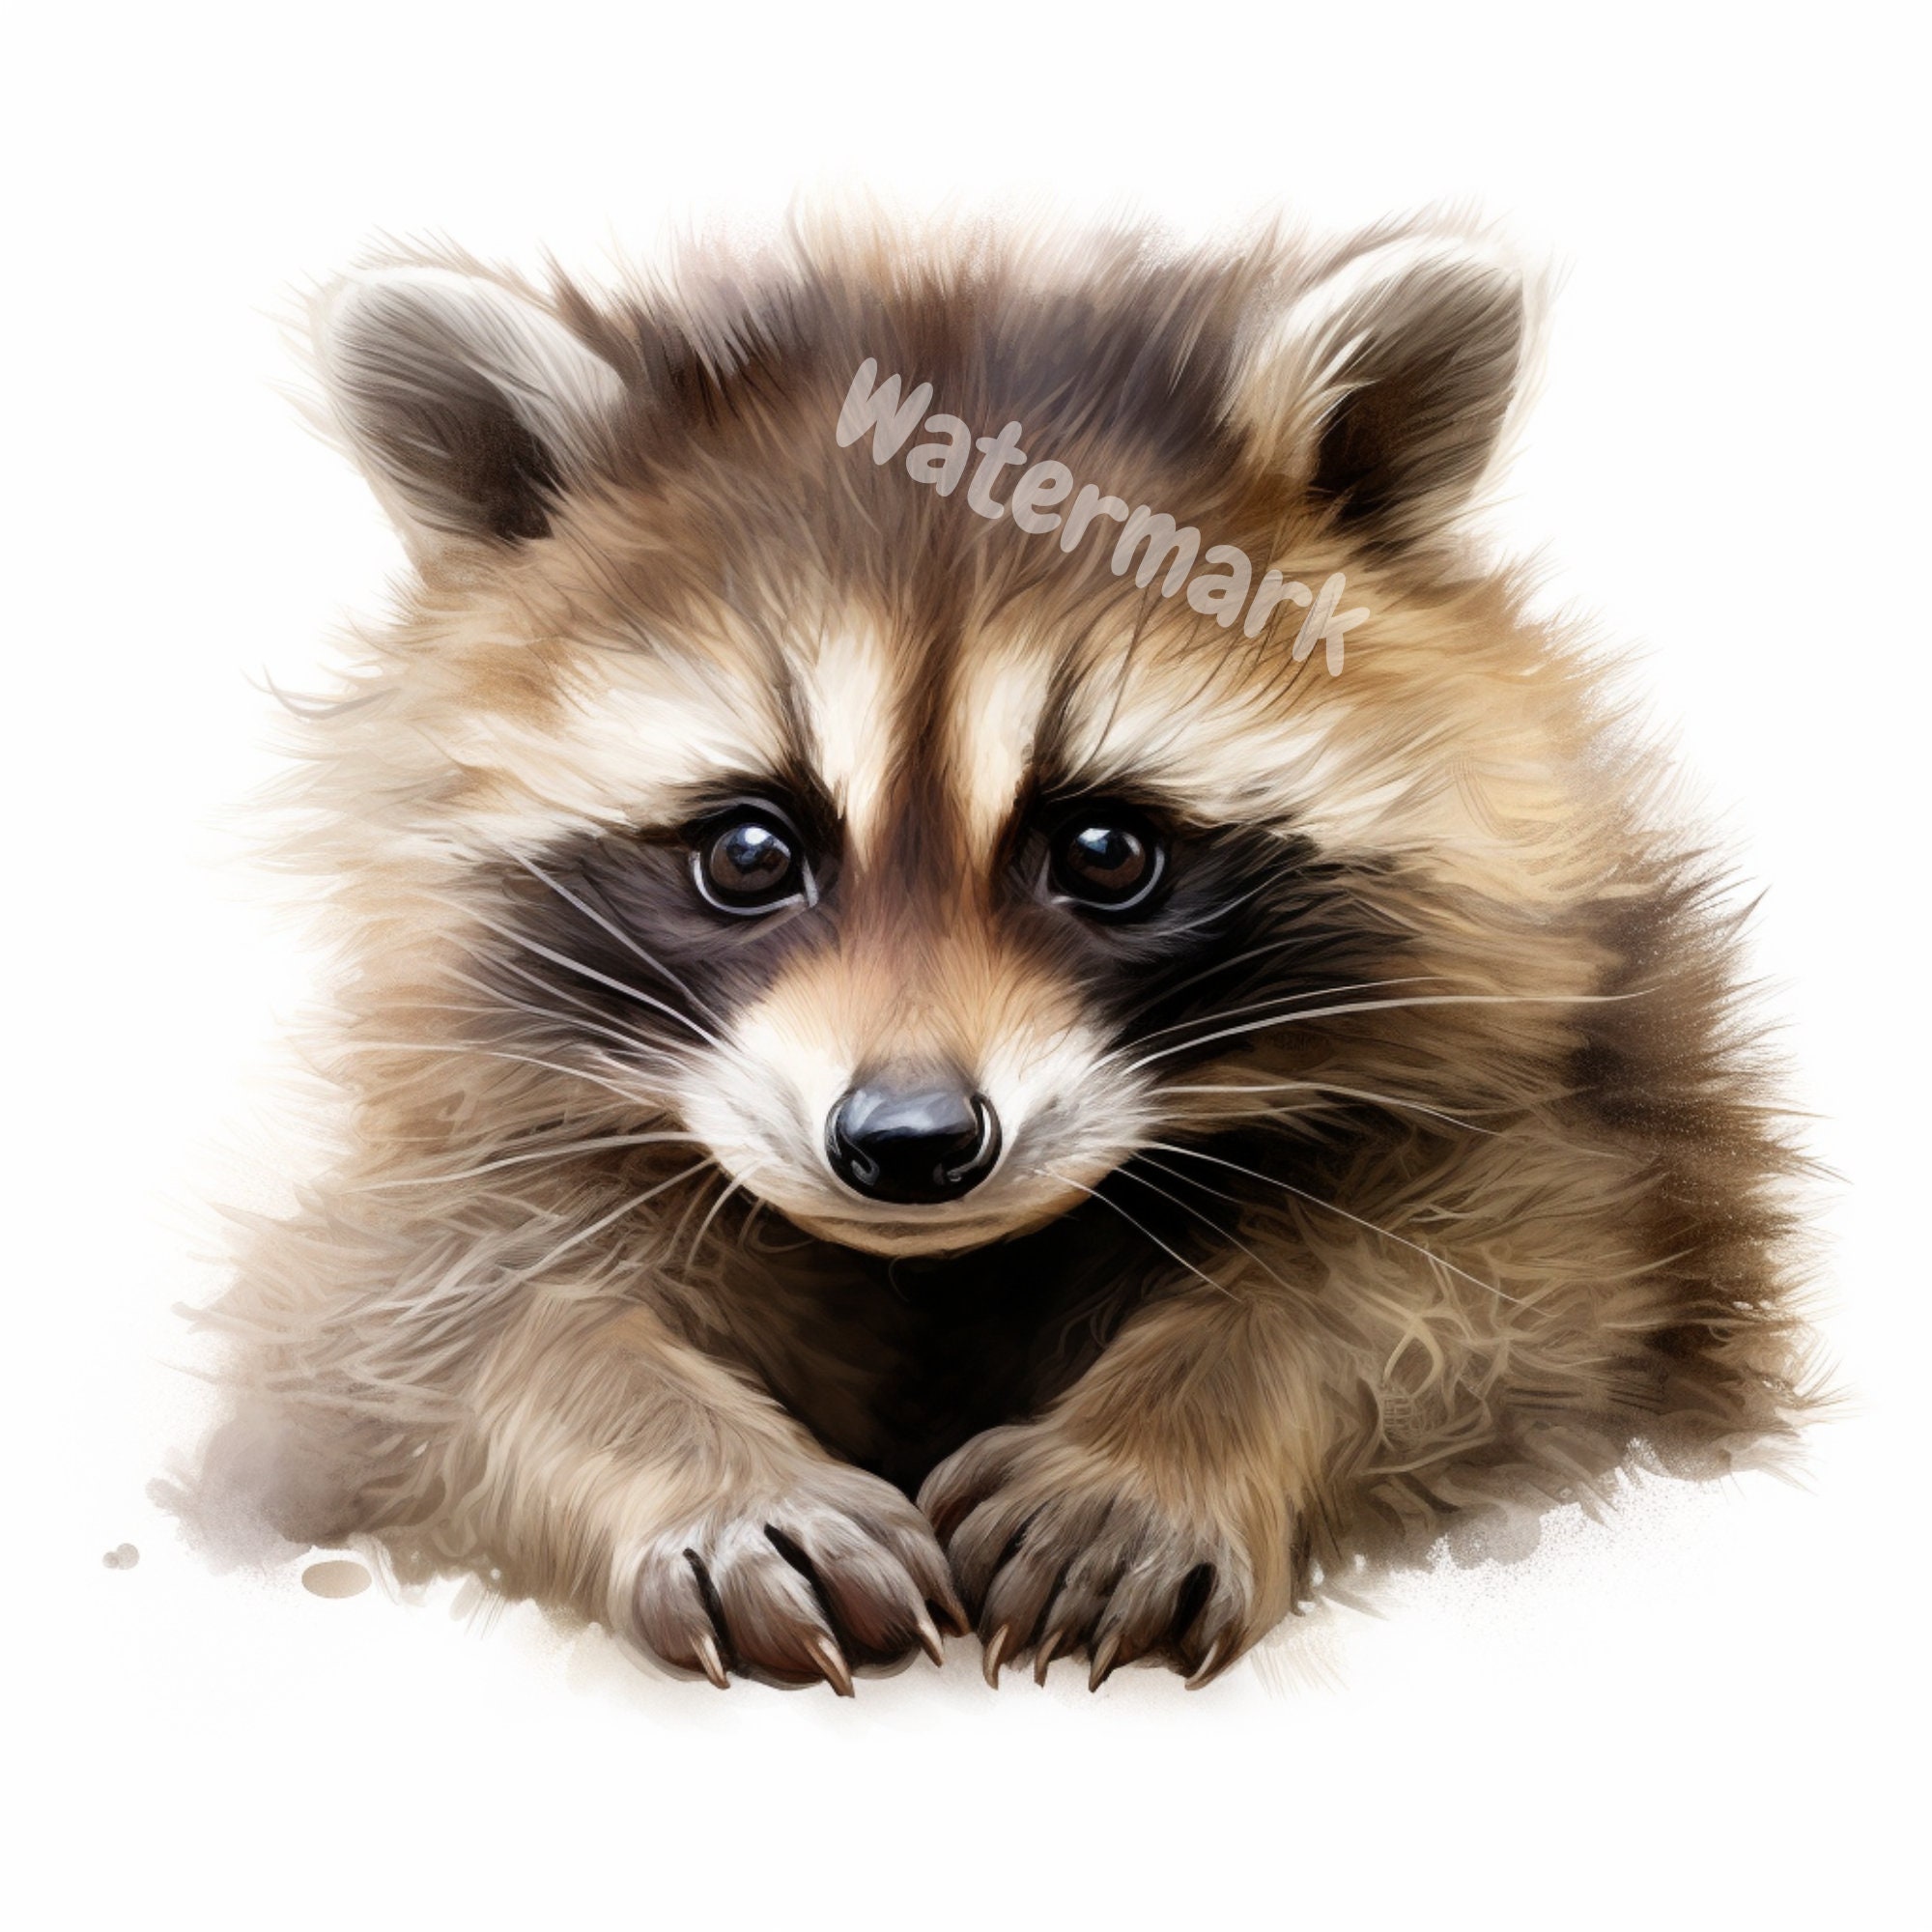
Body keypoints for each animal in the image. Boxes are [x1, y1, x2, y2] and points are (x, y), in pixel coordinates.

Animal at [196, 213, 1813, 1693]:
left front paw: (1178, 1425)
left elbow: (1501, 1290)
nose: (910, 1145)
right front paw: (689, 1458)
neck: (942, 1269)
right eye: (747, 854)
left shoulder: (1595, 1123)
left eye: (1104, 850)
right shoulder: (459, 1152)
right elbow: (407, 1331)